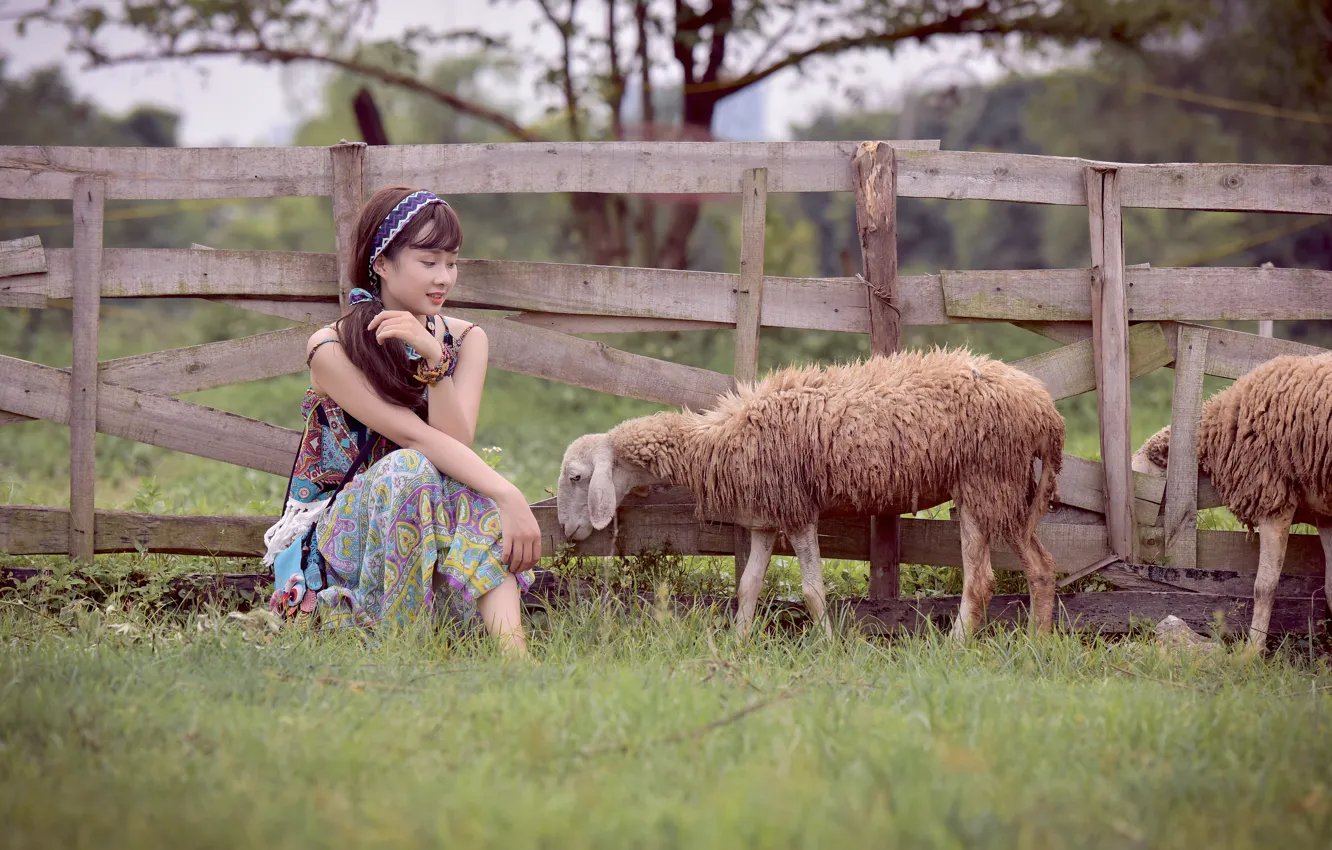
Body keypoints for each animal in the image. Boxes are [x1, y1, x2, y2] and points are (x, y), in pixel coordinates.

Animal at [556, 347, 1066, 640]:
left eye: (577, 477)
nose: (563, 529)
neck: (717, 440)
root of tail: (1046, 410)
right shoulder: (765, 516)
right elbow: (748, 586)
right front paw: (739, 645)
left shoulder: (798, 510)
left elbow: (812, 590)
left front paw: (827, 647)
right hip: (1011, 488)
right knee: (1041, 567)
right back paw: (1039, 644)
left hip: (987, 481)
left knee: (981, 580)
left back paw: (958, 647)